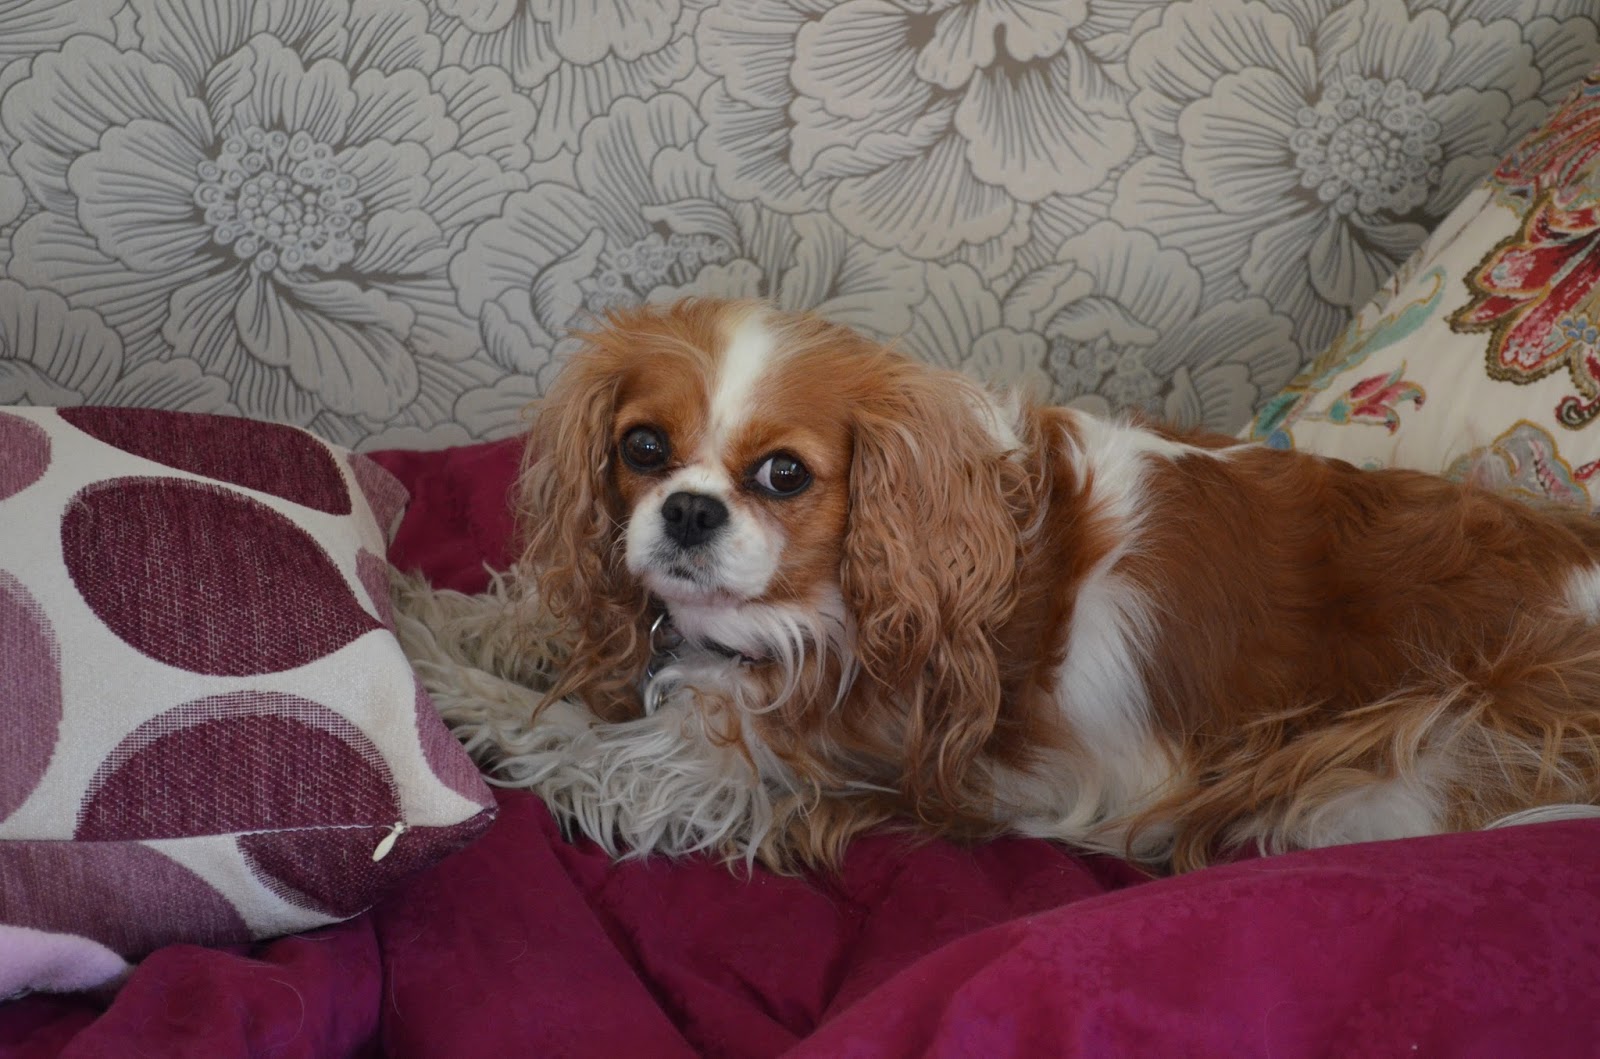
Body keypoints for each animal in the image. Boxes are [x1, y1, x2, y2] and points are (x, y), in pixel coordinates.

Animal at [396, 297, 1600, 873]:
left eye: (784, 475)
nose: (690, 510)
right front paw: (428, 606)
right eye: (642, 449)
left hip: (1382, 779)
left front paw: (442, 688)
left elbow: (577, 740)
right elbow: (543, 626)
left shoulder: (765, 767)